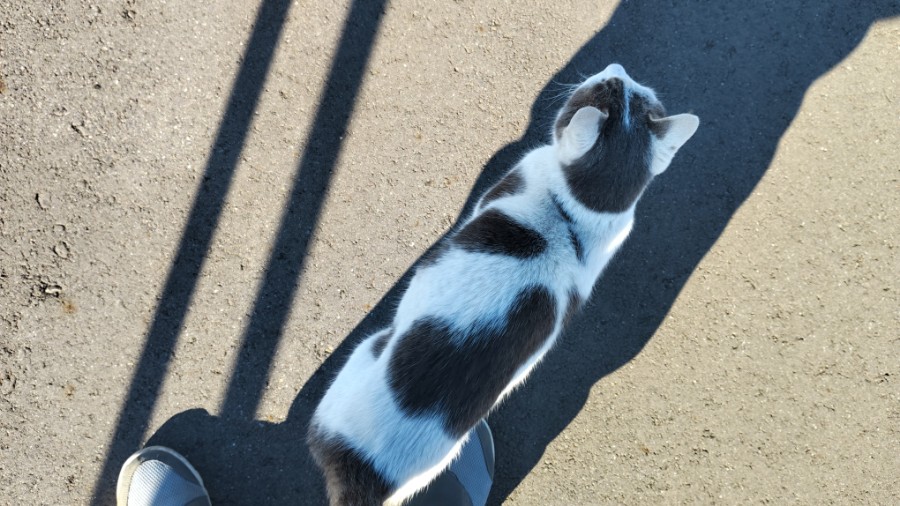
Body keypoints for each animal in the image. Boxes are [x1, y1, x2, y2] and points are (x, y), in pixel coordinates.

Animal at [307, 63, 699, 506]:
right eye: (627, 86)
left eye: (605, 85)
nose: (616, 69)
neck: (576, 210)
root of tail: (366, 479)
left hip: (361, 357)